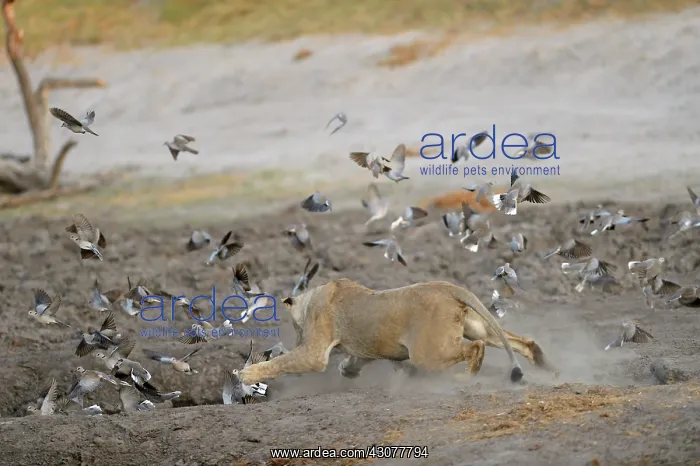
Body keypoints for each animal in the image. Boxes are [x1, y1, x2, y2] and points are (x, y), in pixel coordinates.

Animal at [238, 279, 552, 386]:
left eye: (295, 328)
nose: (298, 337)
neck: (311, 298)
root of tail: (448, 287)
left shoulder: (314, 352)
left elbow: (283, 361)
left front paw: (246, 375)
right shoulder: (363, 348)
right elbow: (356, 358)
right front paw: (347, 370)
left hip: (429, 352)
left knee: (476, 349)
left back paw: (467, 377)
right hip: (480, 327)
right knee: (523, 341)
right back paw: (546, 367)